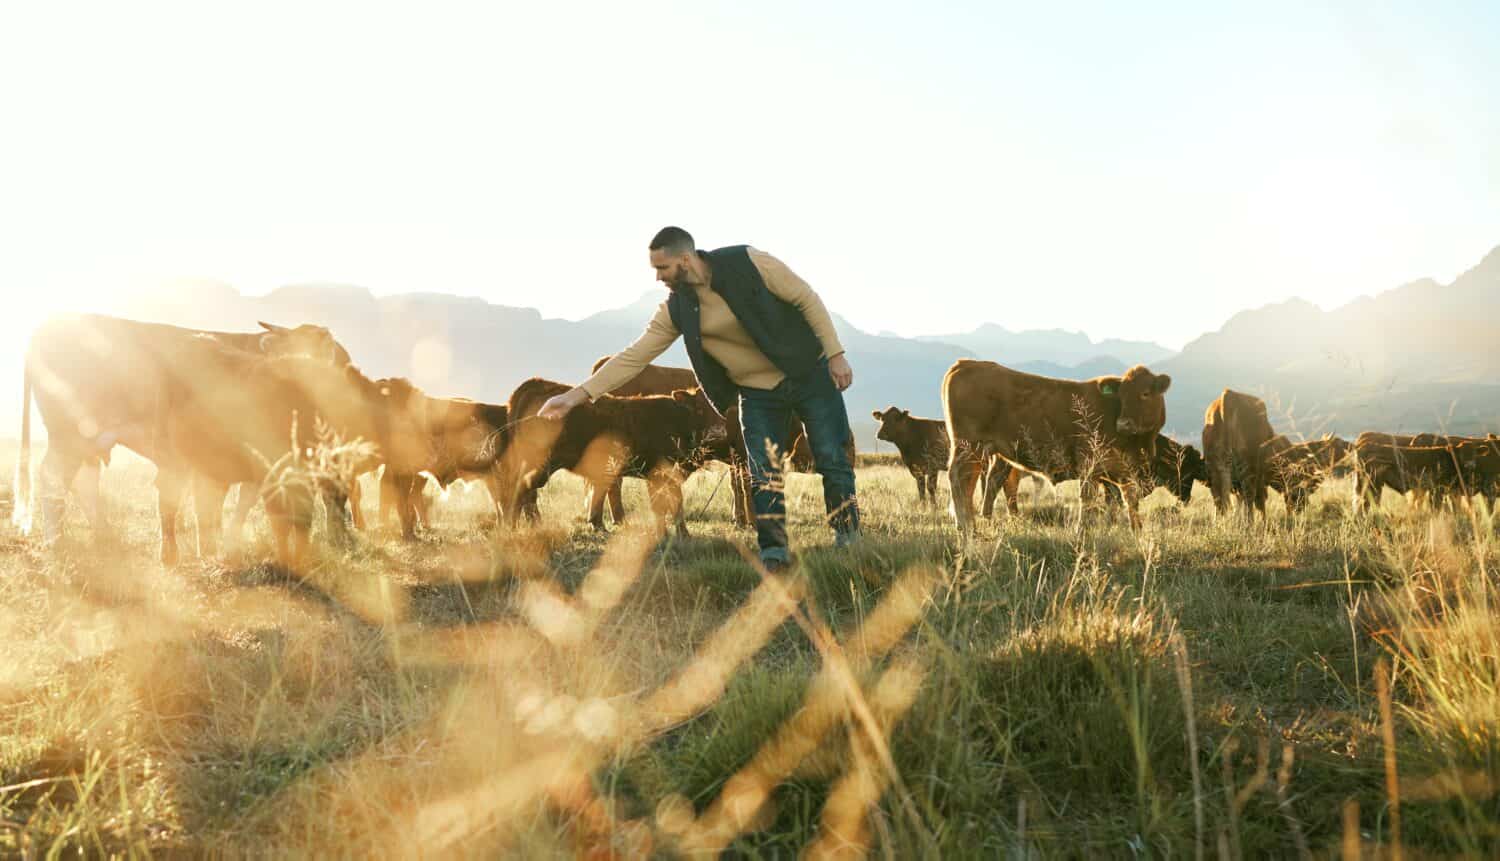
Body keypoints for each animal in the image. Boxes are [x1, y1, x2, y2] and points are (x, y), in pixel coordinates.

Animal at [19, 318, 352, 546]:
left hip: (88, 439)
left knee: (82, 481)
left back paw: (104, 535)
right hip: (69, 434)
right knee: (53, 477)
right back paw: (55, 541)